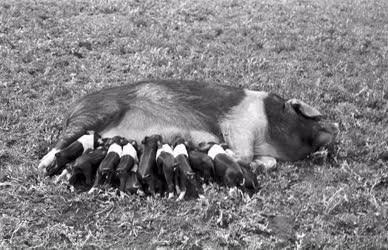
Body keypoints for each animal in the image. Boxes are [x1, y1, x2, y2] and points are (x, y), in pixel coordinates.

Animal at [38, 80, 336, 174]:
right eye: (308, 118)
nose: (332, 130)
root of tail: (72, 108)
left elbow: (267, 162)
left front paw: (261, 164)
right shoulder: (239, 124)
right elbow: (243, 154)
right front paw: (217, 147)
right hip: (94, 115)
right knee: (60, 143)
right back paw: (43, 164)